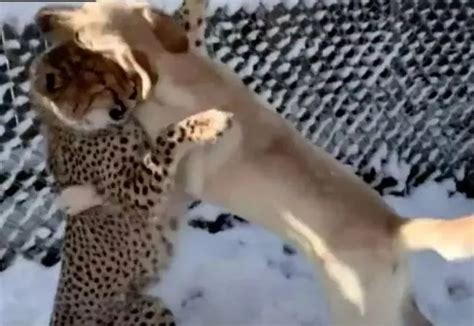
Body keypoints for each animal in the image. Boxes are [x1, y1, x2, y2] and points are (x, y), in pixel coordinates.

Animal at [28, 39, 232, 324]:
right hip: (149, 309)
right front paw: (208, 122)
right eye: (103, 84)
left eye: (116, 67)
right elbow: (167, 138)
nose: (135, 90)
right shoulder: (136, 194)